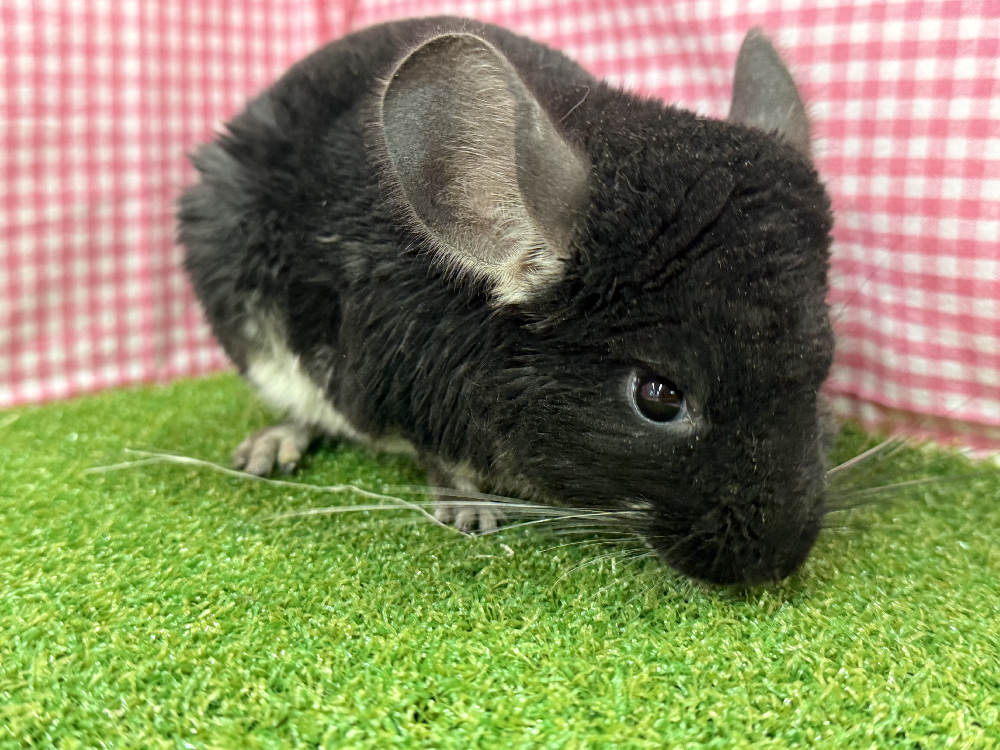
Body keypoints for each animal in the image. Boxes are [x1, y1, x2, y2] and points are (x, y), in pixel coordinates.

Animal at [178, 16, 834, 586]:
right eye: (658, 397)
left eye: (822, 369)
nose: (773, 565)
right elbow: (440, 462)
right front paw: (472, 512)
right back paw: (271, 446)